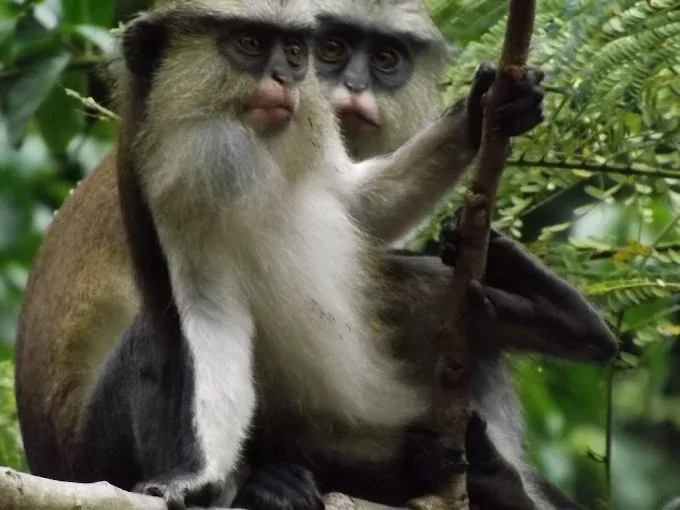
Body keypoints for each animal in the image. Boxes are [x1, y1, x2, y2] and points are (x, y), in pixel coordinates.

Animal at [63, 3, 617, 510]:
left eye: (293, 52)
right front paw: (195, 480)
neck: (256, 150)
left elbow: (360, 204)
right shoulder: (174, 194)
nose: (284, 78)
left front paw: (484, 109)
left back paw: (561, 315)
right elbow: (209, 317)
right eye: (249, 44)